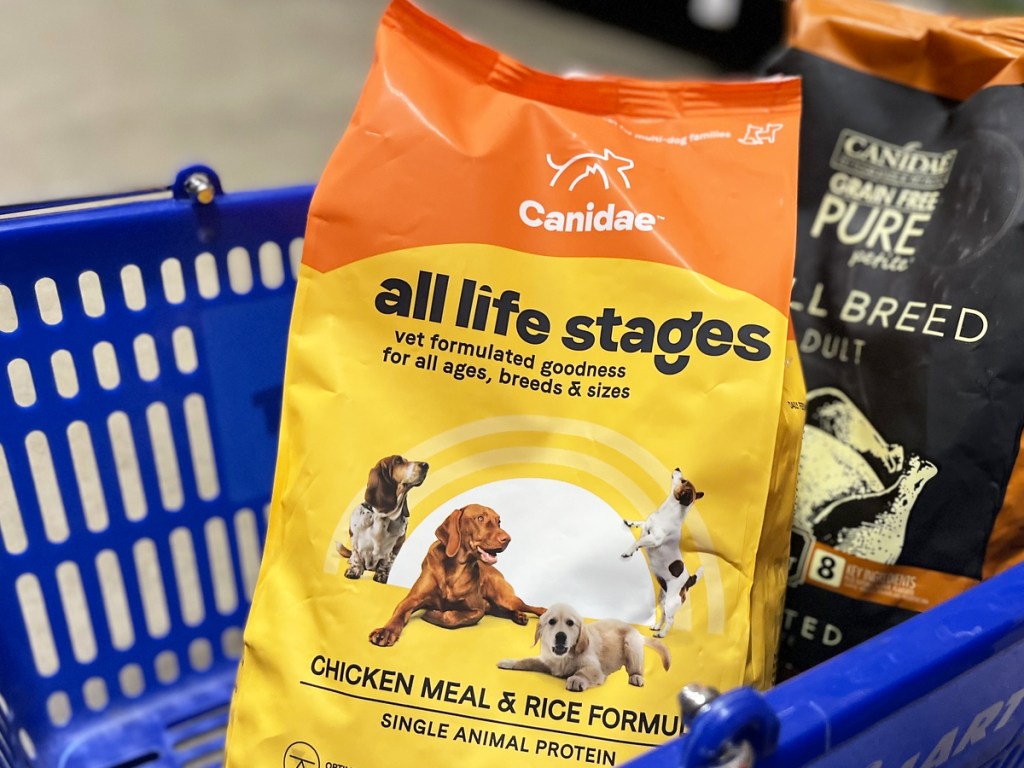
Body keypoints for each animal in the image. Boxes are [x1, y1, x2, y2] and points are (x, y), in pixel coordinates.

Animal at [368, 505, 544, 651]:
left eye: (498, 521)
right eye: (480, 518)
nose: (507, 539)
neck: (455, 570)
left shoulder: (477, 609)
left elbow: (451, 616)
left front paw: (434, 614)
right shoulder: (412, 599)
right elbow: (399, 612)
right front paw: (385, 631)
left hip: (505, 598)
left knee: (532, 607)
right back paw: (519, 616)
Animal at [497, 606, 671, 696]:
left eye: (570, 623)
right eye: (551, 622)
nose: (561, 636)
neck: (565, 657)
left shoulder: (594, 668)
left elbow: (583, 672)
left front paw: (576, 679)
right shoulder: (547, 662)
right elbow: (527, 660)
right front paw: (509, 662)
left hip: (632, 645)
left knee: (636, 668)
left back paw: (636, 677)